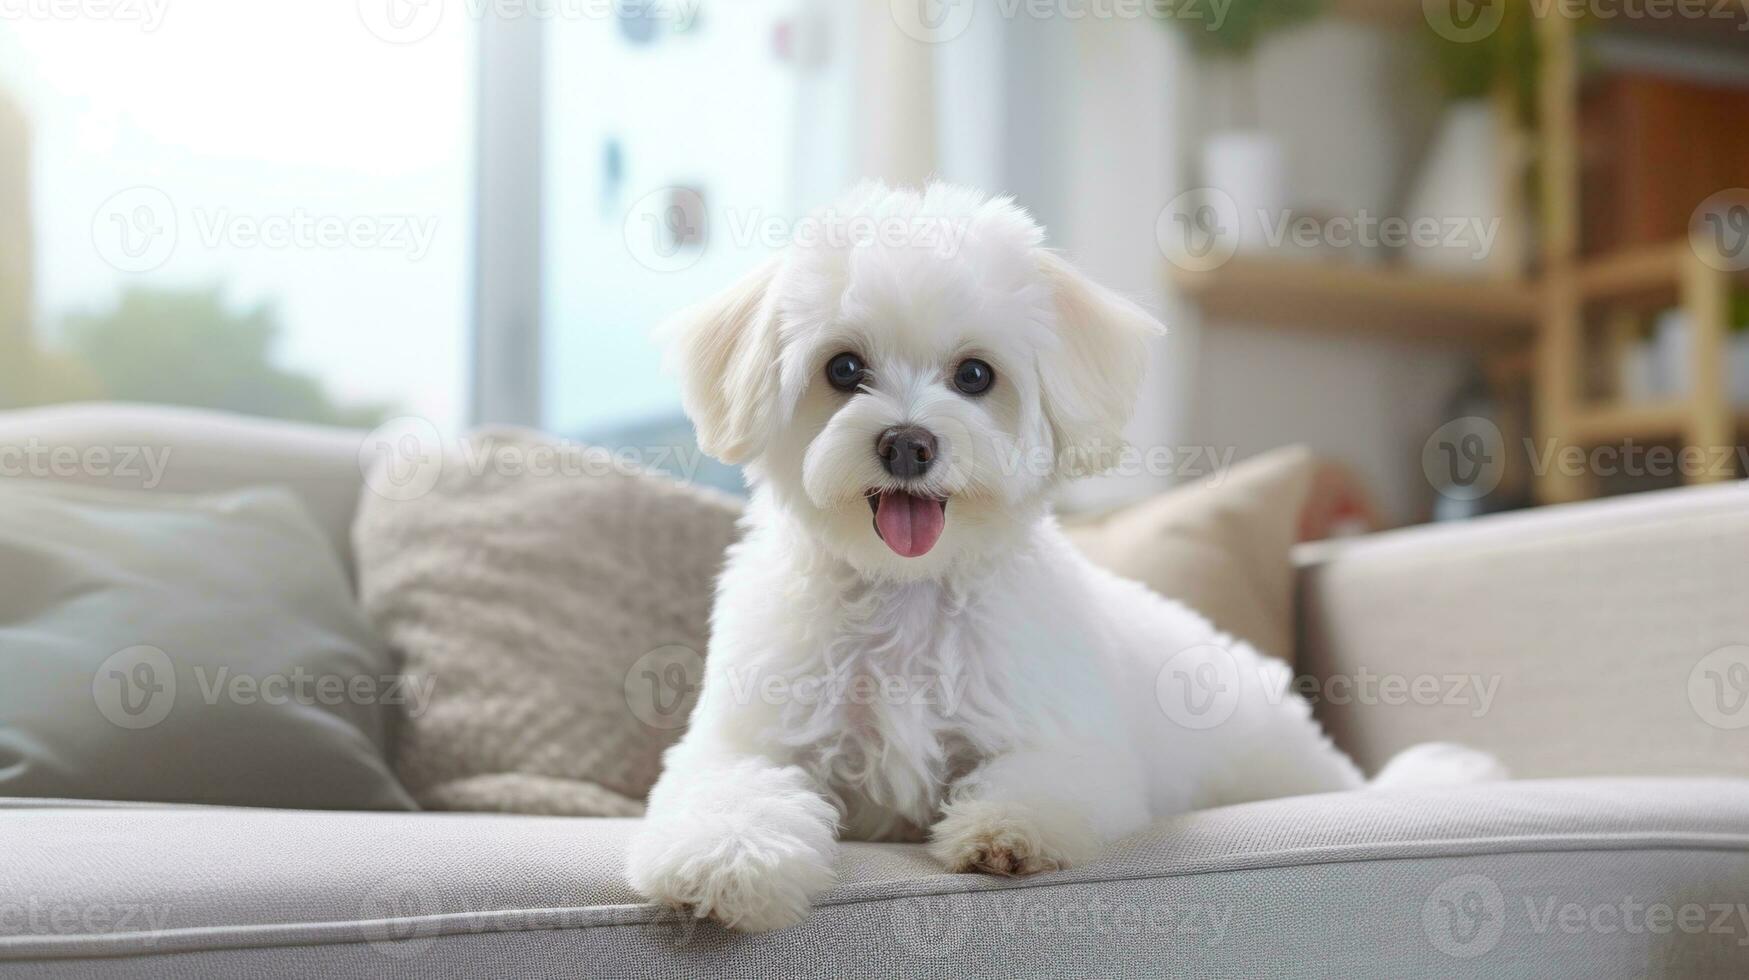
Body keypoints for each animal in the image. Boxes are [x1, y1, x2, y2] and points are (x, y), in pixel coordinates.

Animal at [629, 183, 1504, 931]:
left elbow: (1036, 778)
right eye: (842, 368)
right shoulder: (742, 740)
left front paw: (1003, 829)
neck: (909, 592)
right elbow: (731, 787)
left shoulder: (1075, 751)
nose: (908, 443)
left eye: (974, 374)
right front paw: (725, 863)